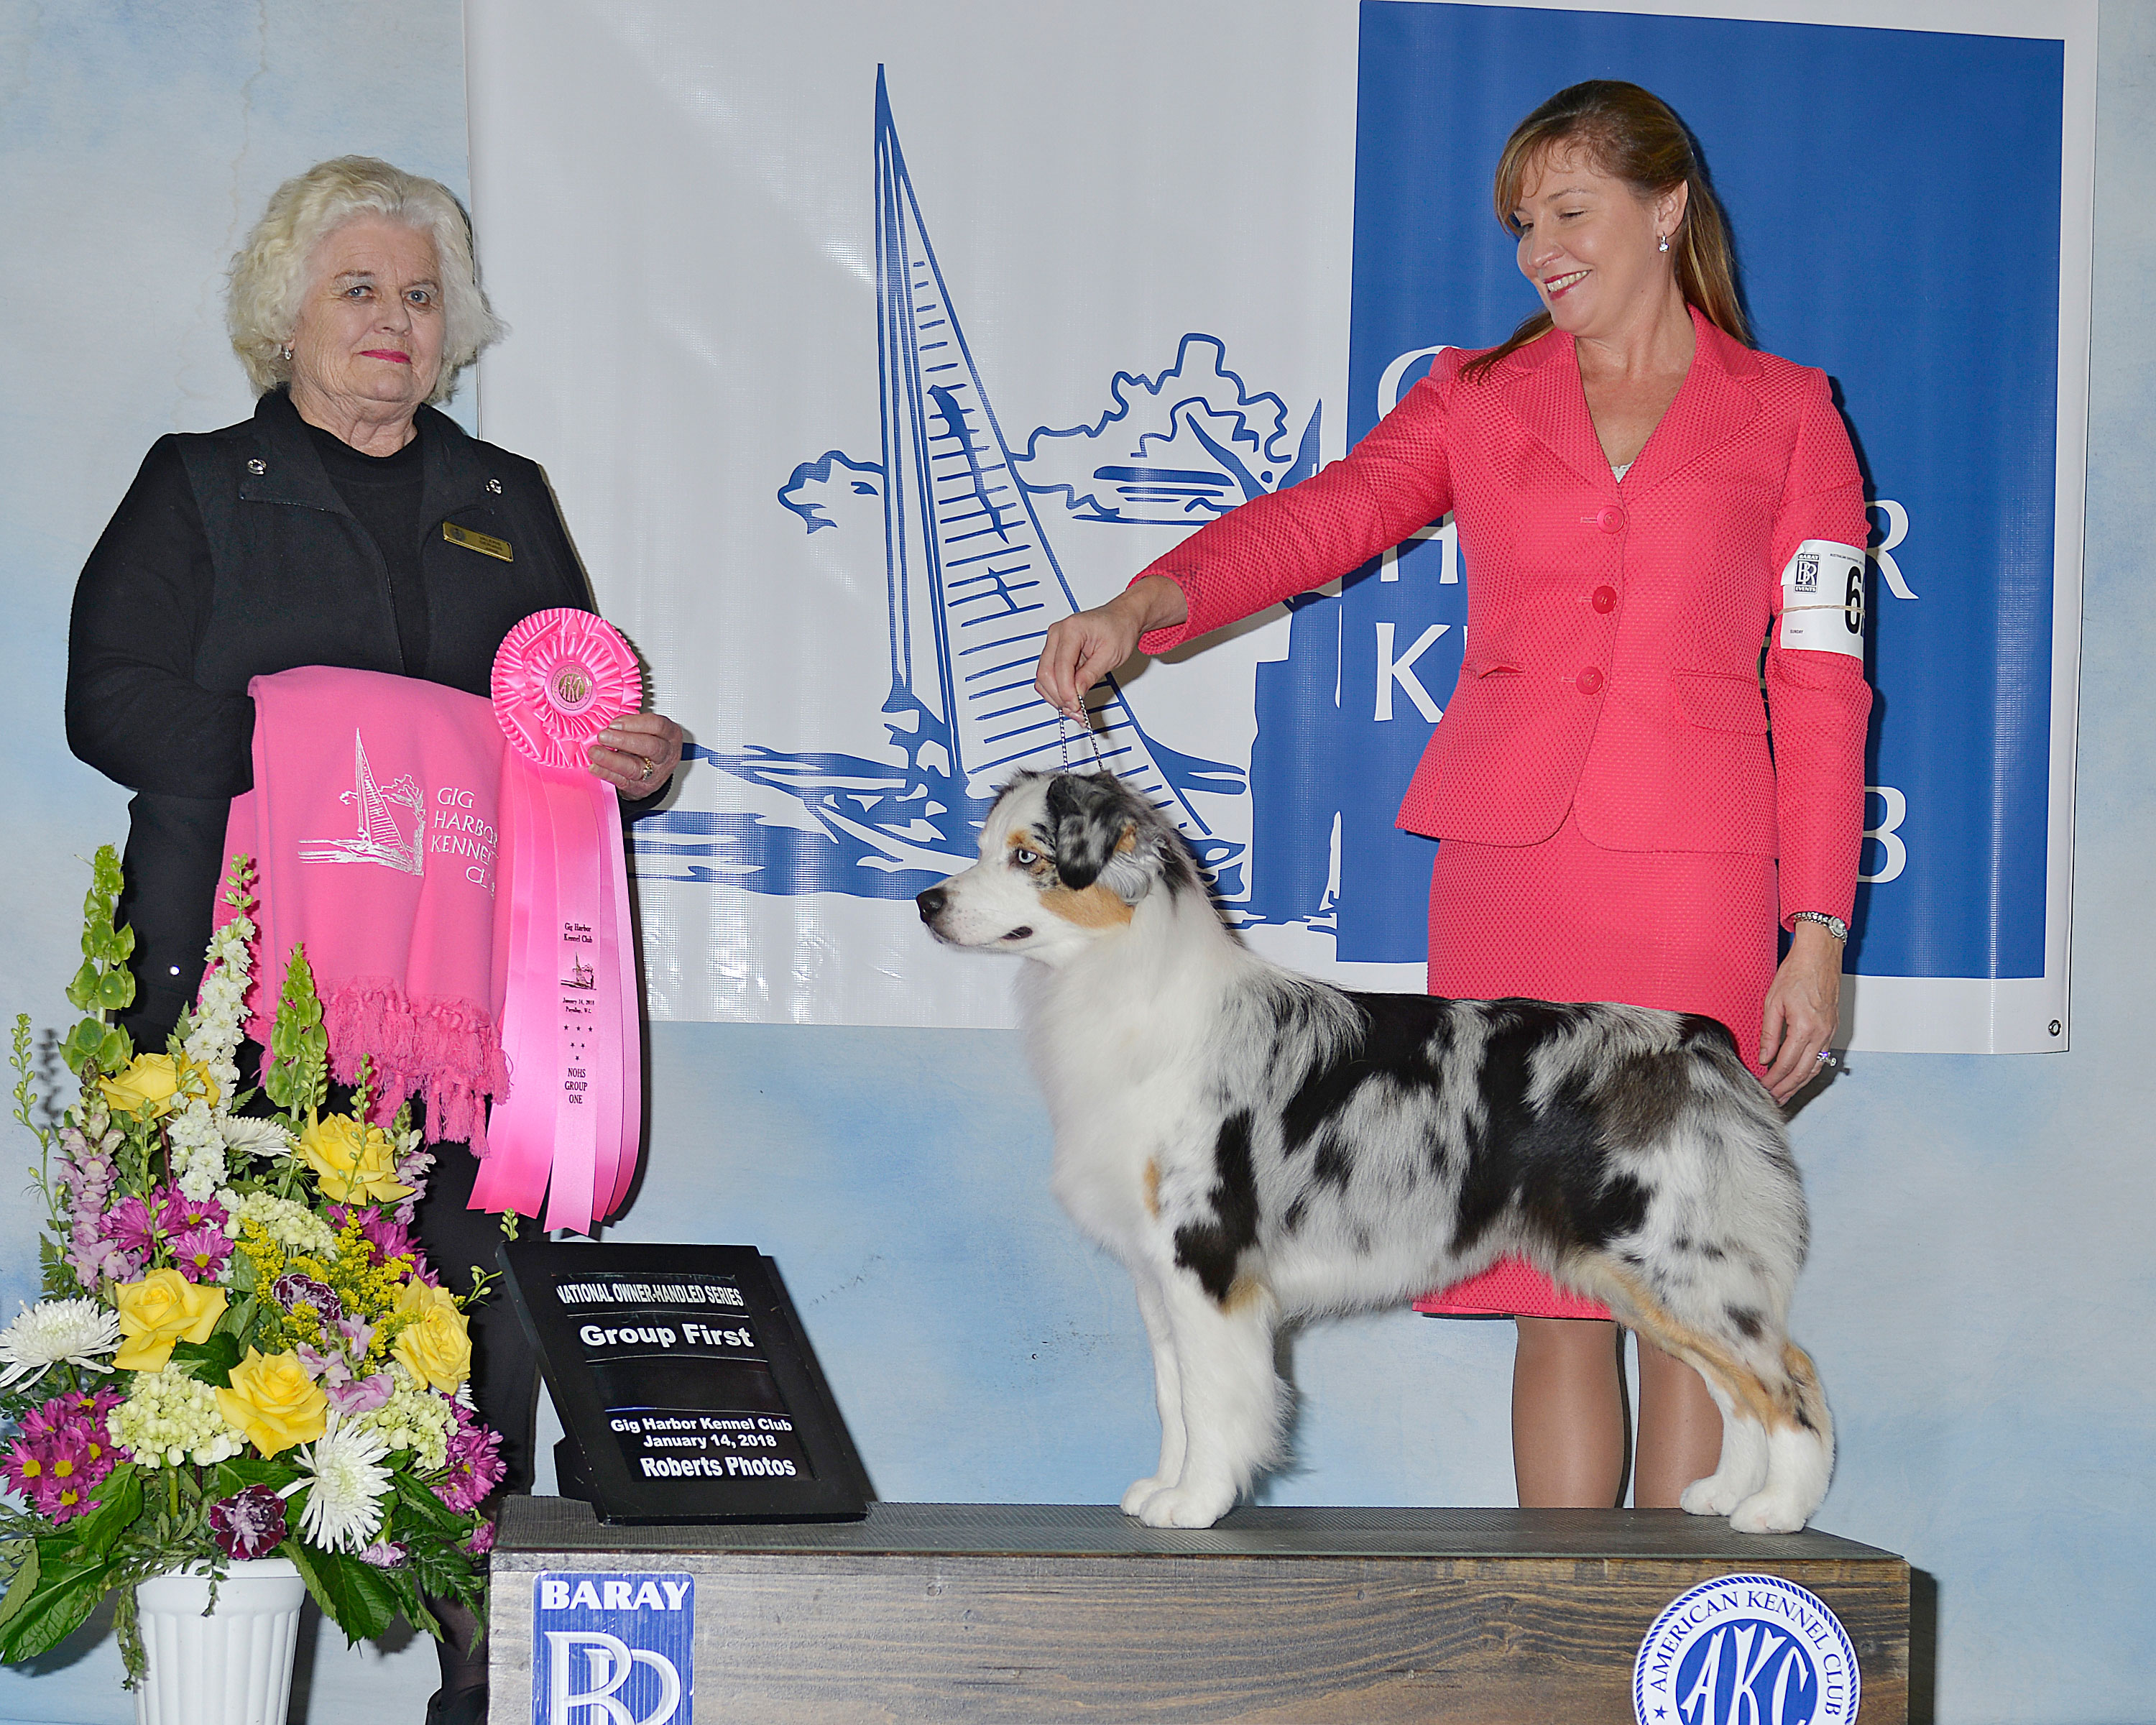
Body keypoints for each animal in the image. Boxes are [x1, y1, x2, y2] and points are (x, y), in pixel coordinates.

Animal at [916, 770, 1833, 1534]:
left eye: (1026, 856)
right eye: (983, 847)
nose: (926, 901)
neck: (1120, 984)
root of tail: (1704, 1041)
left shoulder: (1208, 1256)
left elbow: (1217, 1398)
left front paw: (1200, 1503)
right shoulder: (1157, 1273)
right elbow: (1174, 1397)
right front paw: (1163, 1489)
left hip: (1683, 1259)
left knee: (1790, 1379)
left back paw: (1779, 1511)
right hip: (1645, 1277)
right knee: (1734, 1386)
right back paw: (1723, 1496)